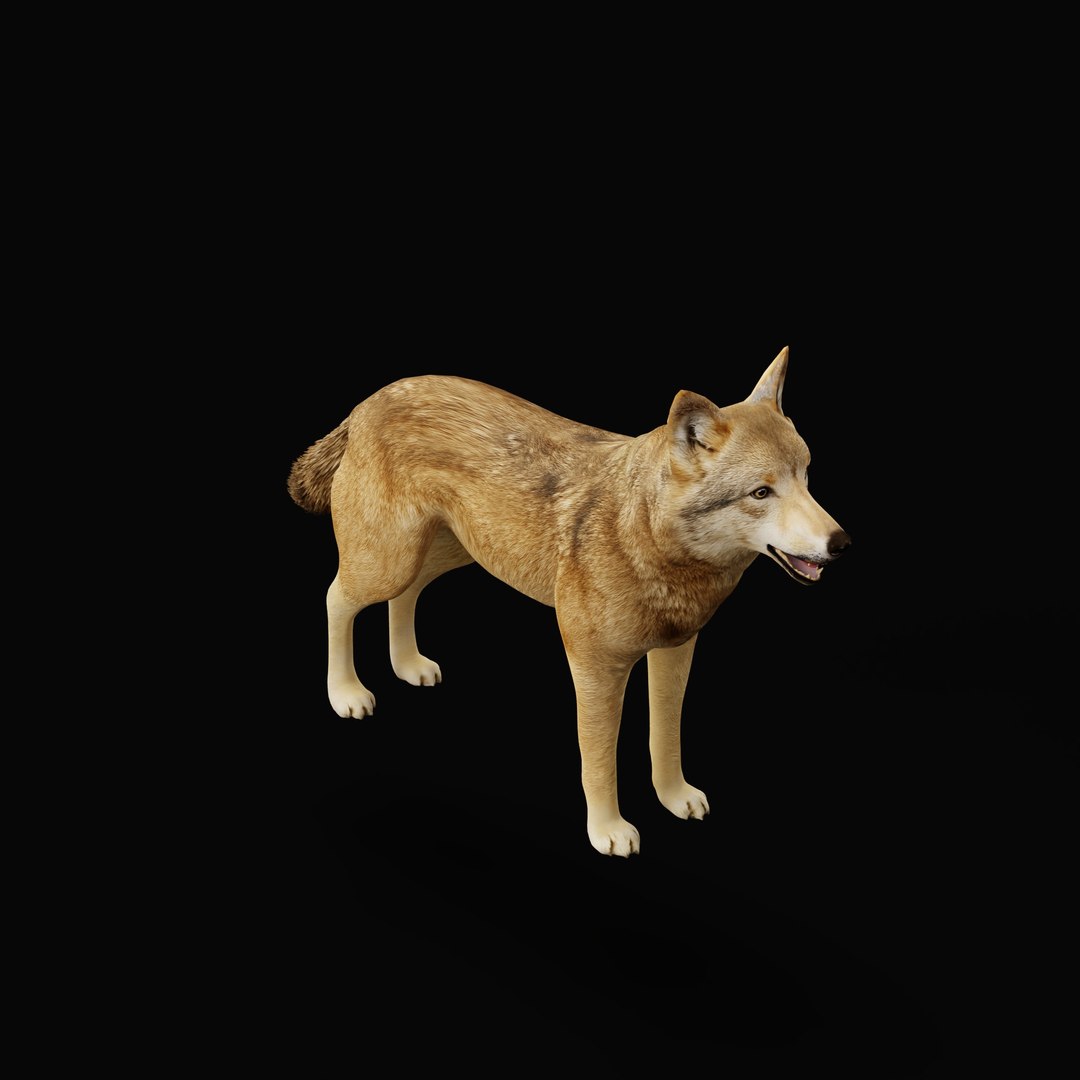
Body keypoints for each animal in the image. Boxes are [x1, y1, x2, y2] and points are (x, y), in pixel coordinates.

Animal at [288, 347, 849, 856]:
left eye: (806, 477)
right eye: (761, 493)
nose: (841, 543)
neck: (645, 535)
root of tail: (369, 401)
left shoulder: (675, 650)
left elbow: (665, 736)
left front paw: (674, 797)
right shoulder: (594, 665)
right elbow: (599, 760)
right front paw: (607, 831)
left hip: (444, 554)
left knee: (405, 595)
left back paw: (408, 665)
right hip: (386, 561)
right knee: (335, 597)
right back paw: (345, 693)